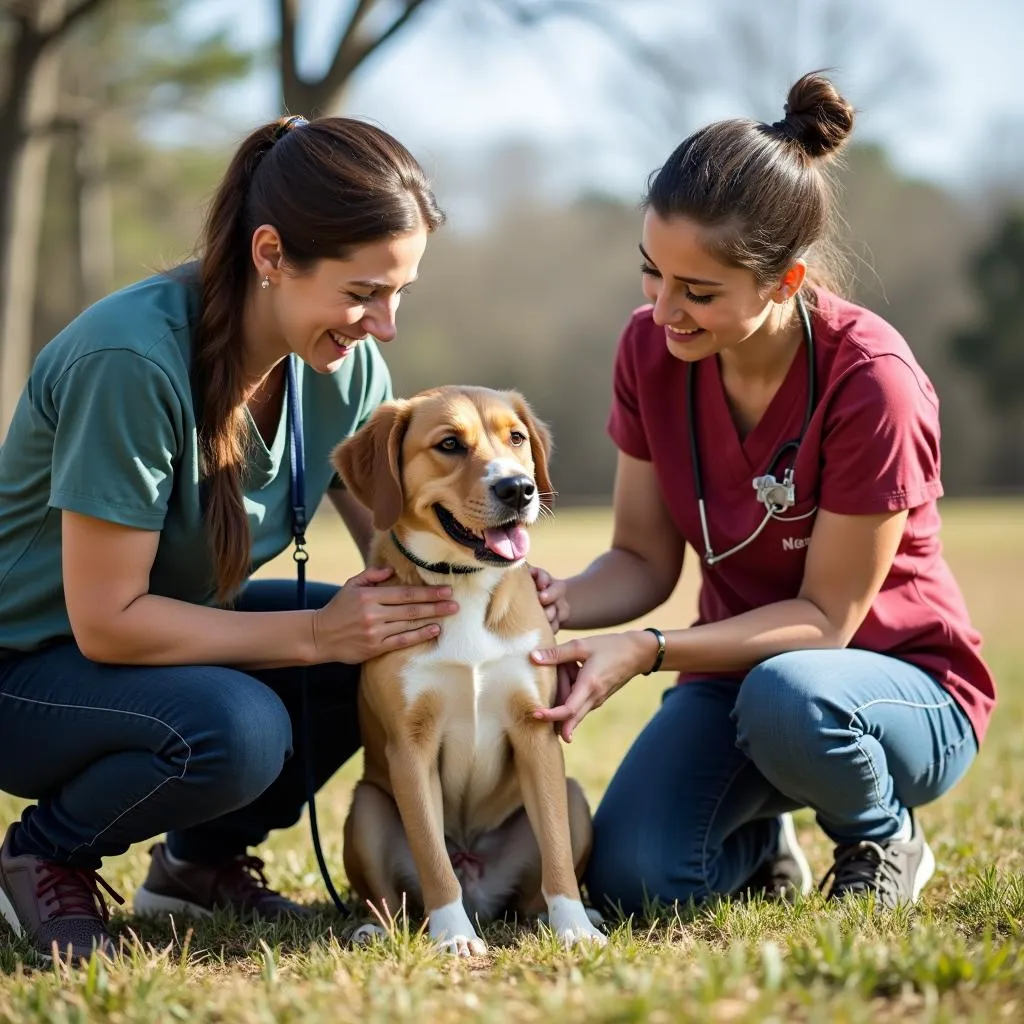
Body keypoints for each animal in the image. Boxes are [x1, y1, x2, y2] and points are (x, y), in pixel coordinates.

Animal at [333, 387, 606, 954]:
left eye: (516, 438)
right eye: (449, 444)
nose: (518, 488)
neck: (466, 581)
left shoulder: (536, 732)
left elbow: (557, 856)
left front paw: (574, 928)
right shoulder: (410, 747)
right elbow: (434, 862)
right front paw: (454, 937)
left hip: (573, 796)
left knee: (536, 888)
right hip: (366, 808)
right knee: (392, 899)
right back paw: (376, 928)